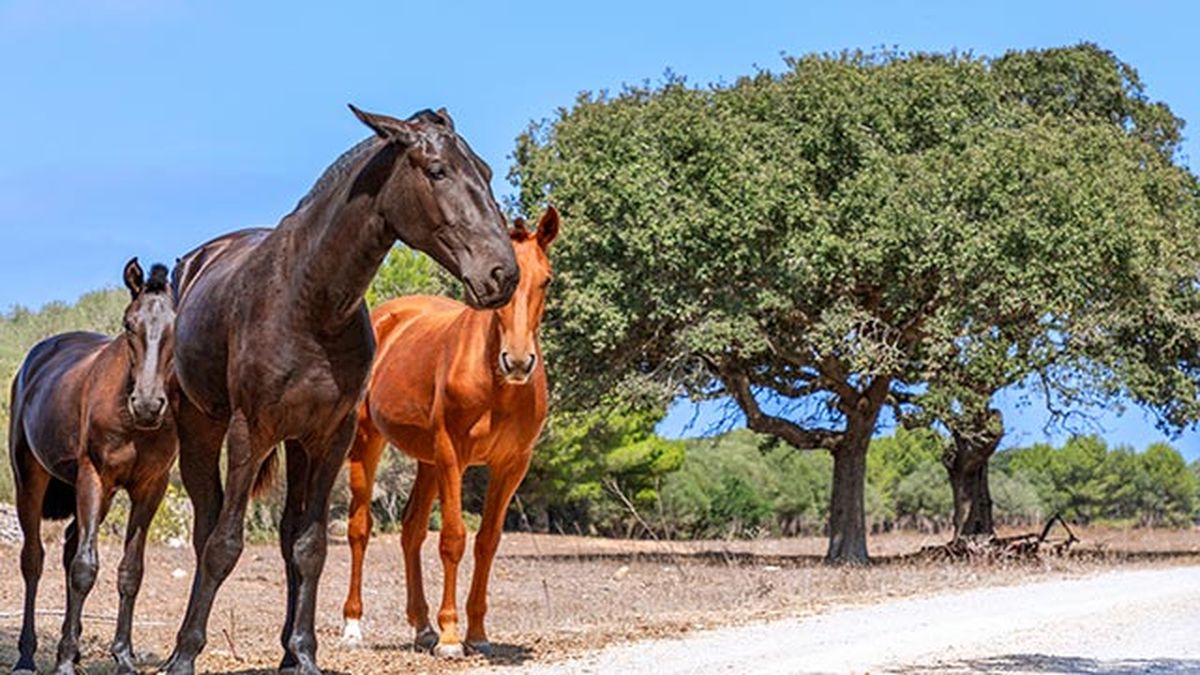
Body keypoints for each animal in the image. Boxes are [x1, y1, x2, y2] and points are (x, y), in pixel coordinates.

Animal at [9, 259, 177, 675]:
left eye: (174, 326)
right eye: (128, 323)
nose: (147, 404)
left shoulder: (151, 486)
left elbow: (130, 572)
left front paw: (123, 656)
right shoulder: (94, 476)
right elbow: (84, 568)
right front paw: (65, 662)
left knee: (70, 545)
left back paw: (71, 646)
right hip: (30, 479)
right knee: (34, 559)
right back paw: (27, 655)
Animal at [159, 106, 520, 675]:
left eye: (484, 171)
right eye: (436, 170)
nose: (502, 274)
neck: (309, 302)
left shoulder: (330, 436)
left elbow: (309, 546)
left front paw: (304, 653)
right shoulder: (249, 433)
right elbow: (224, 543)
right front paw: (184, 654)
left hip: (297, 442)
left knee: (288, 532)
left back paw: (287, 648)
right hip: (201, 429)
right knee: (206, 526)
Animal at [339, 207, 559, 658]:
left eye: (546, 279)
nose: (518, 362)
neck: (496, 383)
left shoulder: (511, 466)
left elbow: (487, 542)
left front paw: (477, 633)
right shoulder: (452, 455)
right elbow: (454, 539)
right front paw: (452, 636)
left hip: (427, 460)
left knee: (410, 530)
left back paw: (422, 626)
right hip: (369, 444)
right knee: (360, 529)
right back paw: (353, 626)